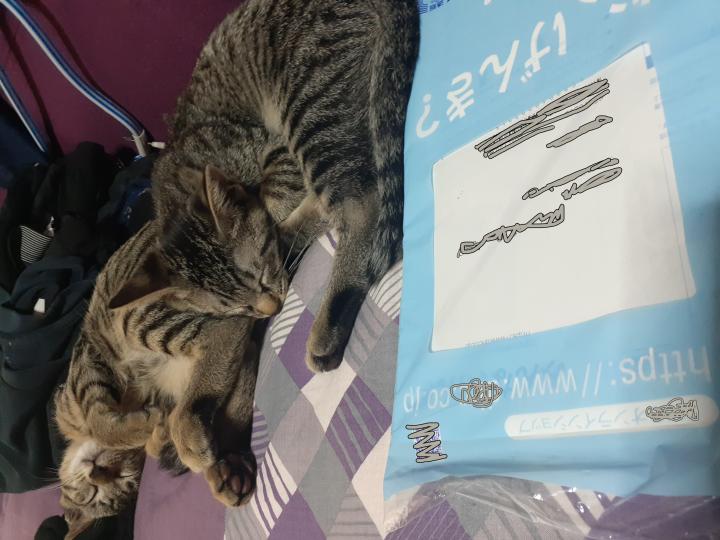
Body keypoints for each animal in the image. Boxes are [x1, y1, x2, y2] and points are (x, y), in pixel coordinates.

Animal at [54, 220, 267, 539]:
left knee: (226, 328)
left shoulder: (89, 362)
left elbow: (102, 425)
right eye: (91, 492)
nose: (95, 470)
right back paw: (232, 469)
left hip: (138, 319)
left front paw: (148, 426)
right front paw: (158, 430)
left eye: (122, 478)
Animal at [151, 0, 420, 372]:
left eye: (259, 277)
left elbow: (275, 209)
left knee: (361, 202)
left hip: (309, 106)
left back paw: (327, 325)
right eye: (236, 308)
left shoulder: (271, 149)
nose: (268, 307)